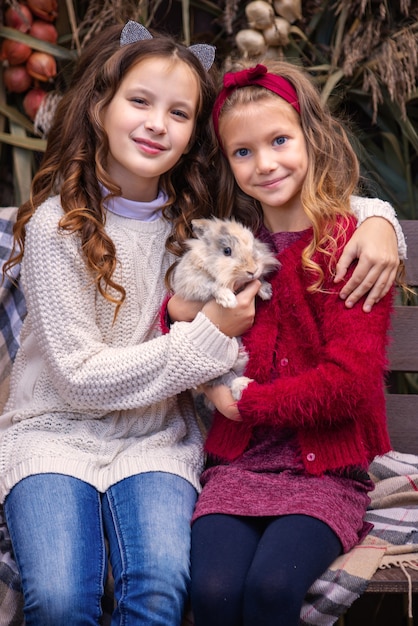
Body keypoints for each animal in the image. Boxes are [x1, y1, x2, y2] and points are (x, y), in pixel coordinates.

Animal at [170, 216, 280, 400]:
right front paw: (229, 300)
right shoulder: (194, 283)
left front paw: (266, 291)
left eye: (253, 245)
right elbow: (213, 286)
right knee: (225, 377)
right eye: (227, 251)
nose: (253, 270)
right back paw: (241, 385)